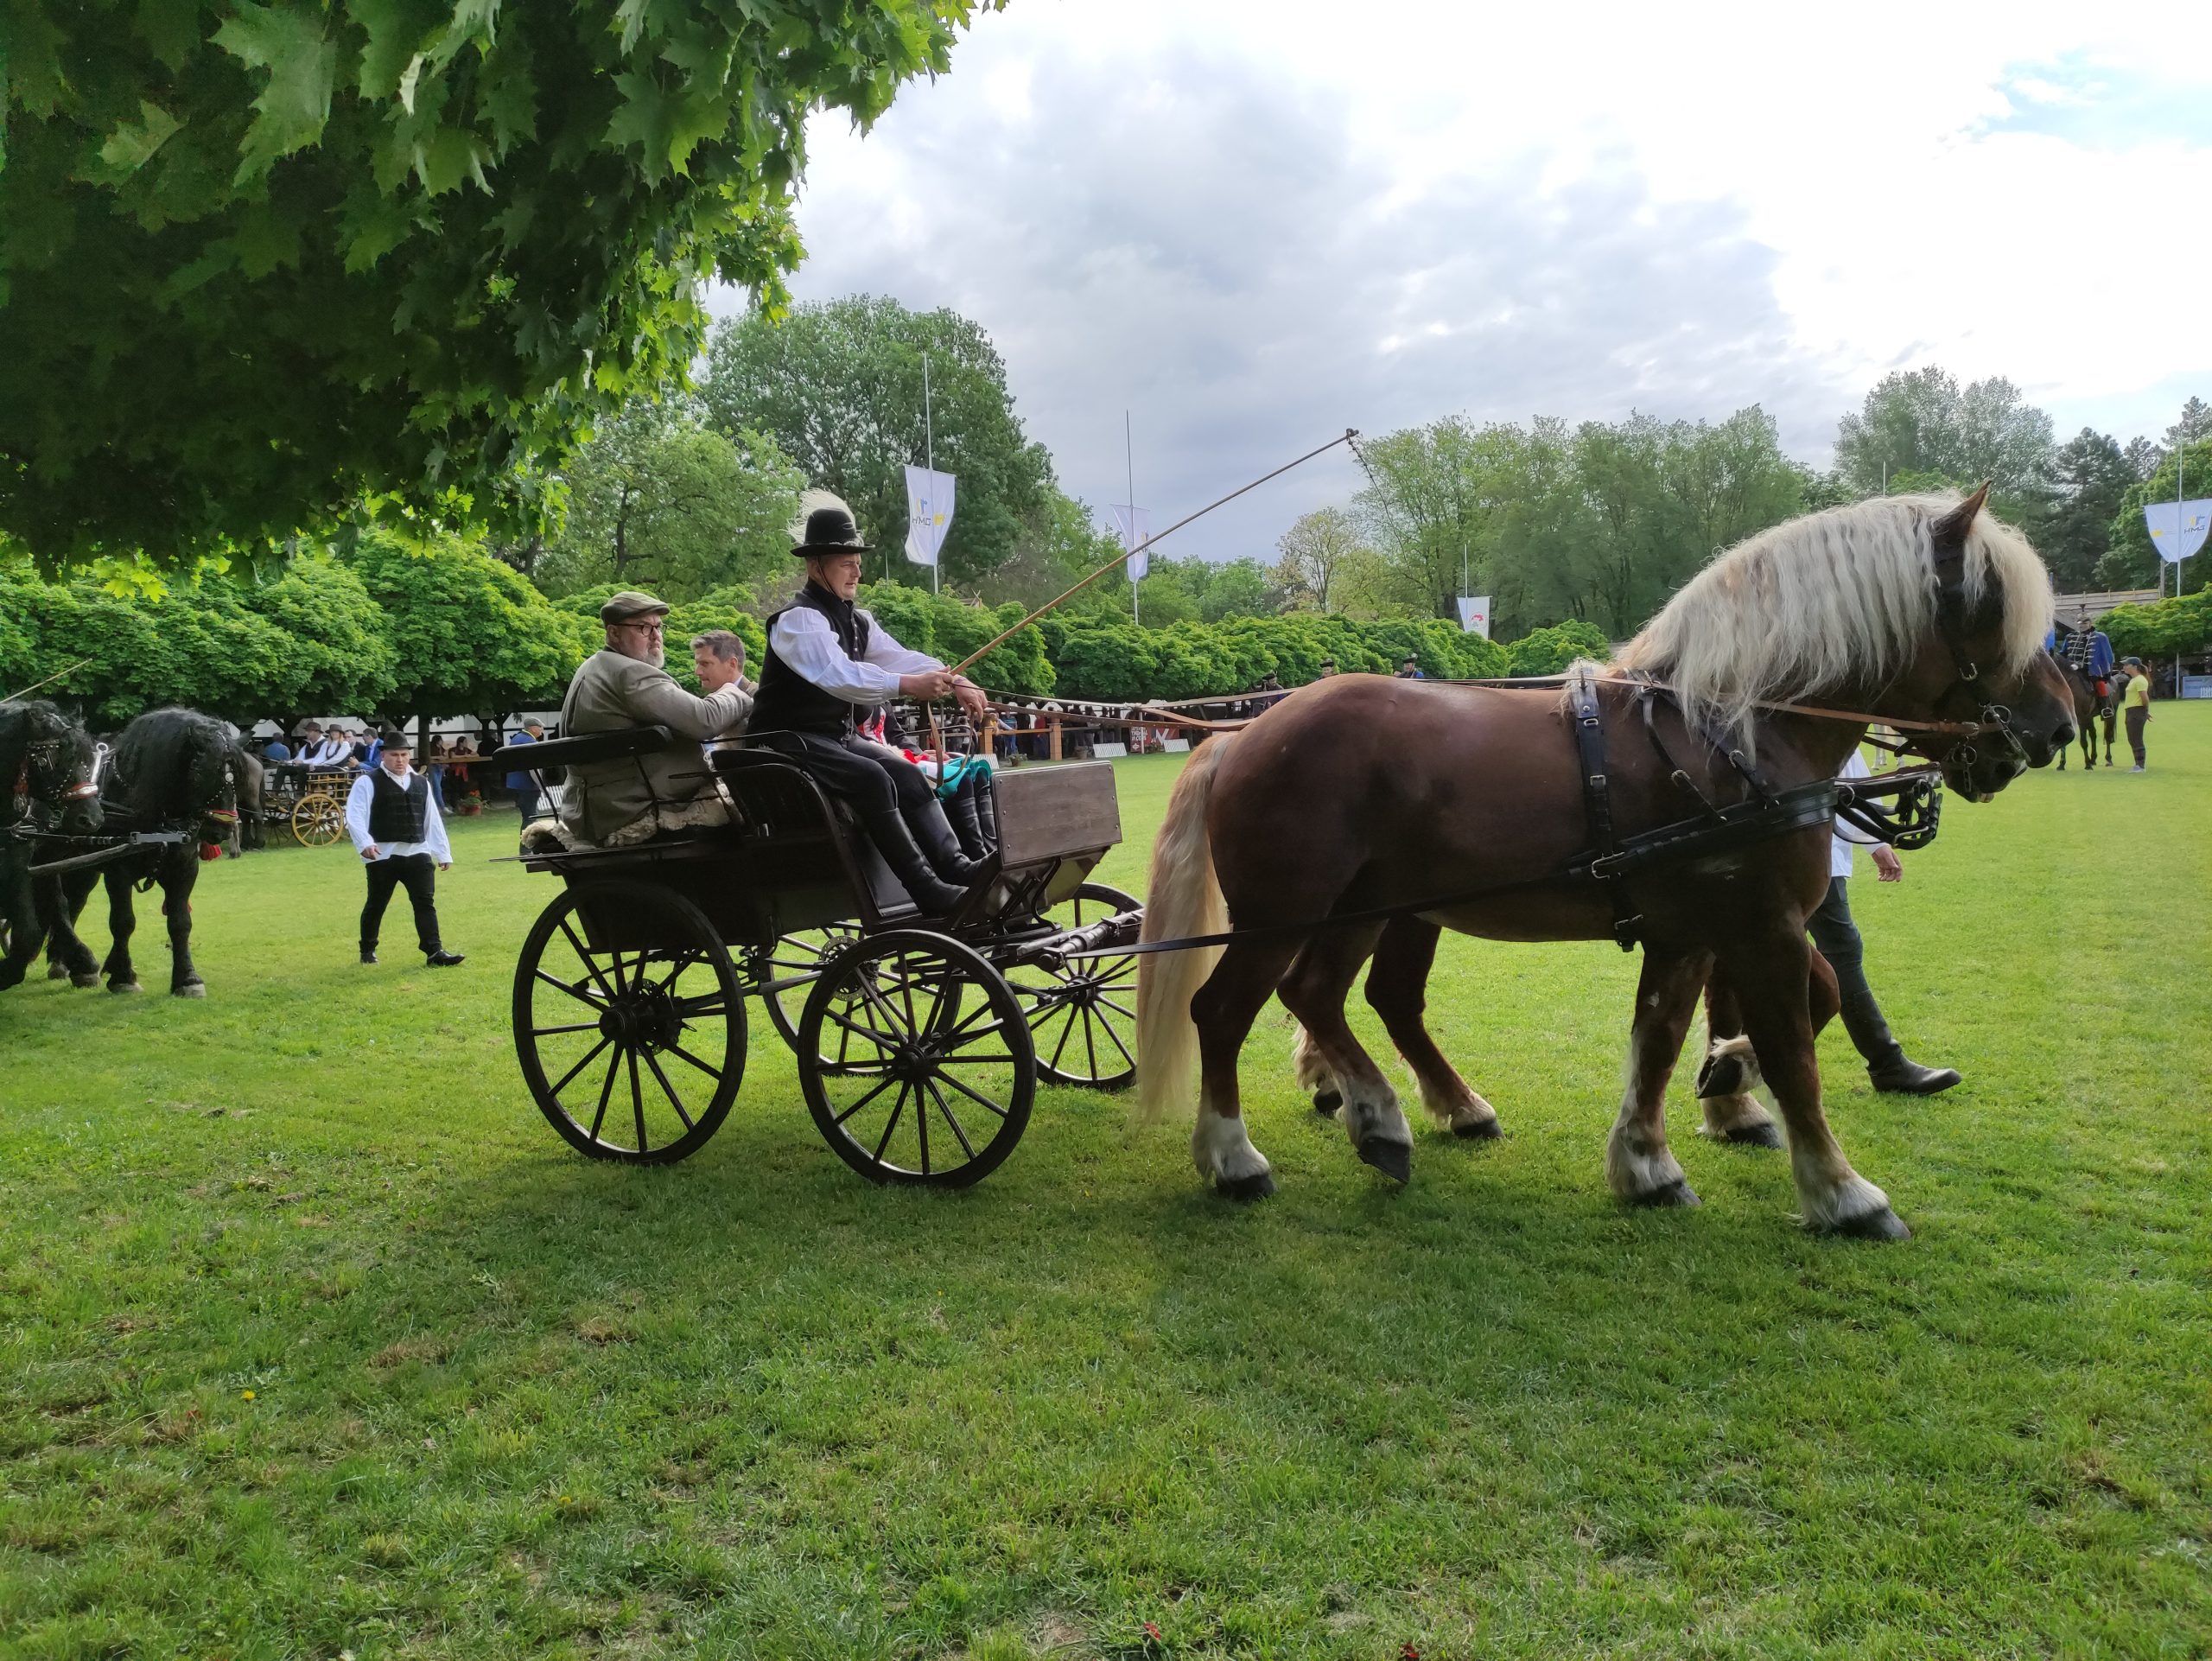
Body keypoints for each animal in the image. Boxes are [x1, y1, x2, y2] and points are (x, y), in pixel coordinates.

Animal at [42, 703, 242, 995]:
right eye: (198, 771)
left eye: (235, 773)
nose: (223, 827)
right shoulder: (118, 871)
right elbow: (123, 922)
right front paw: (123, 976)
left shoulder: (184, 868)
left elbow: (180, 922)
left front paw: (187, 979)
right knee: (57, 904)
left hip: (84, 866)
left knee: (74, 903)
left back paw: (66, 962)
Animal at [1141, 487, 2070, 1238]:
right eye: (1988, 605)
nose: (2056, 725)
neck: (1724, 734)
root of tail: (1241, 732)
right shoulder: (1762, 928)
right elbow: (1795, 1054)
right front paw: (1842, 1191)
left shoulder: (1693, 933)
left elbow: (1665, 1038)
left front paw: (1657, 1152)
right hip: (1284, 914)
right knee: (1224, 1010)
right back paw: (1237, 1156)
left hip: (1366, 910)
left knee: (1327, 996)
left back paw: (1387, 1115)